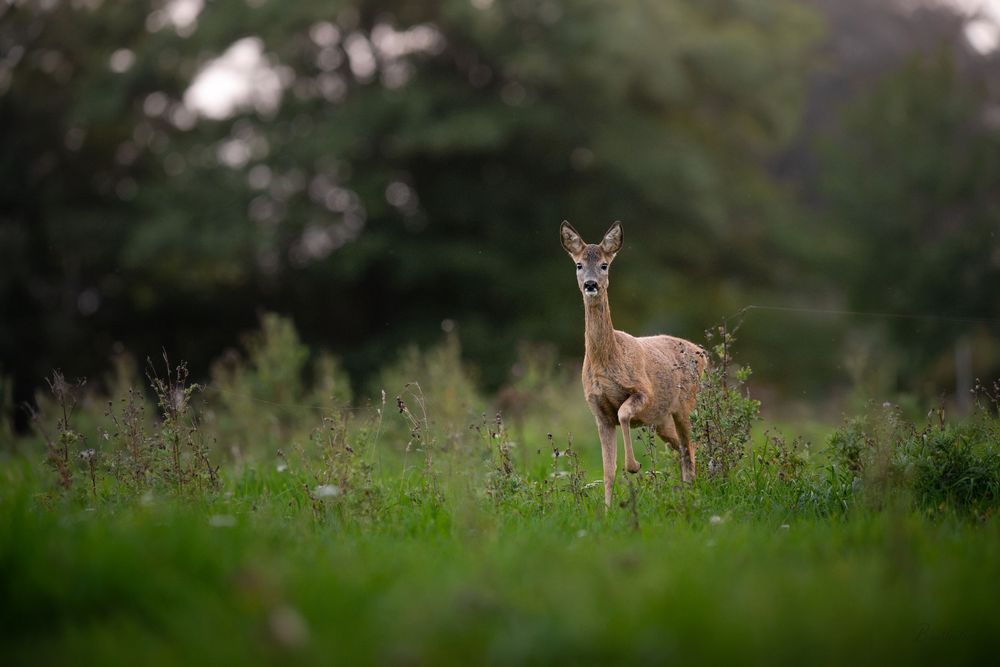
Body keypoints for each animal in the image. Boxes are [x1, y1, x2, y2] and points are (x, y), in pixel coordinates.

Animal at [560, 221, 709, 508]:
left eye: (604, 265)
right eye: (579, 264)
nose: (591, 284)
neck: (608, 359)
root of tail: (702, 352)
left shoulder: (643, 391)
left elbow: (624, 414)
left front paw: (634, 466)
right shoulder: (598, 412)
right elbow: (607, 469)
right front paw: (607, 510)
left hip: (686, 405)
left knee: (690, 446)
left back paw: (693, 493)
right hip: (663, 419)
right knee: (682, 447)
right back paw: (686, 491)